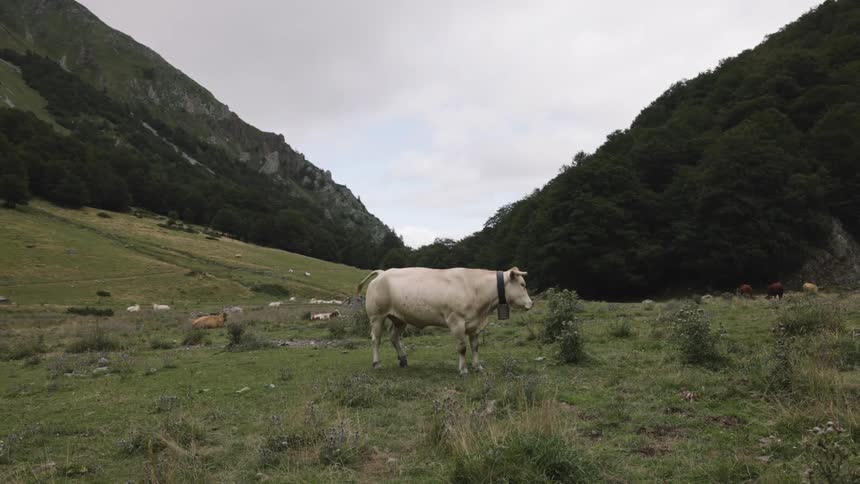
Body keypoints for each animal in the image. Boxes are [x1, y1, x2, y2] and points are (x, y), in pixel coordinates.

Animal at [357, 267, 533, 375]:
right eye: (523, 284)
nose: (531, 304)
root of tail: (382, 272)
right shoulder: (456, 321)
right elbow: (462, 347)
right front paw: (463, 370)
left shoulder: (475, 325)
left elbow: (475, 347)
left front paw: (478, 367)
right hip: (376, 316)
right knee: (376, 340)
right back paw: (377, 363)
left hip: (400, 318)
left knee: (394, 337)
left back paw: (403, 359)